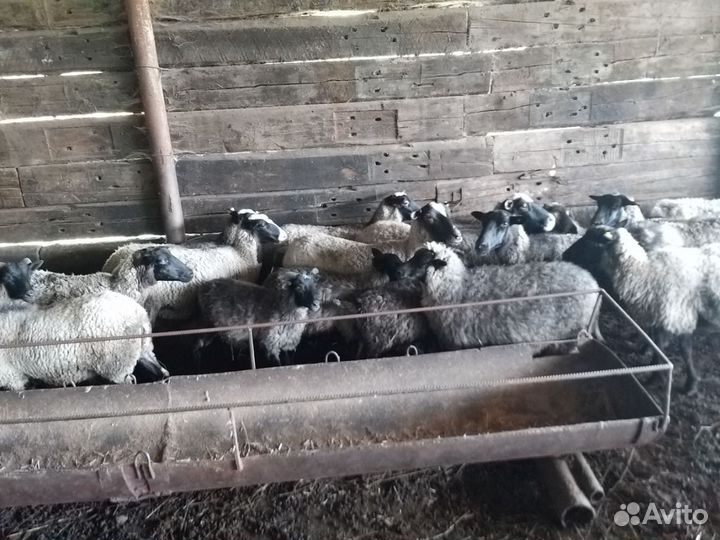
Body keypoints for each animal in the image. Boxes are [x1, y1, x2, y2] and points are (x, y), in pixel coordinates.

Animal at [0, 290, 167, 391]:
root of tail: (138, 313)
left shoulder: (12, 377)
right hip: (143, 350)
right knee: (160, 368)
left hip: (118, 365)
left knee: (128, 381)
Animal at [562, 226, 720, 395]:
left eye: (592, 239)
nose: (565, 254)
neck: (645, 273)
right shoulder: (662, 316)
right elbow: (658, 345)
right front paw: (653, 366)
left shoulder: (679, 315)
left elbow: (683, 350)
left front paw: (688, 384)